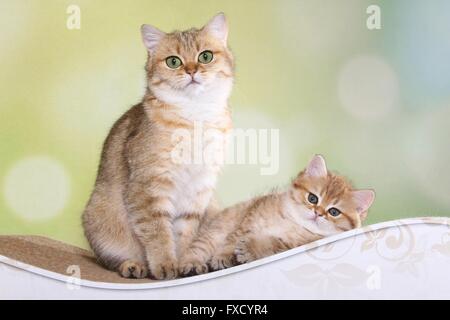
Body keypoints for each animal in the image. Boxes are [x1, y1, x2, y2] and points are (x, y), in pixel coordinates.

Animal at [82, 13, 234, 278]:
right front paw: (165, 265)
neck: (196, 117)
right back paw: (133, 266)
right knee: (110, 259)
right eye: (173, 61)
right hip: (99, 218)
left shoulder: (199, 190)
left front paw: (186, 263)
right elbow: (158, 233)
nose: (191, 70)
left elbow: (186, 234)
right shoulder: (149, 187)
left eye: (205, 56)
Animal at [178, 155, 374, 276]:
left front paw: (251, 249)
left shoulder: (291, 245)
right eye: (312, 198)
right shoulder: (248, 219)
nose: (318, 213)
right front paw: (224, 256)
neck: (292, 222)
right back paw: (193, 265)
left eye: (334, 212)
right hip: (216, 230)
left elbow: (271, 243)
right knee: (198, 248)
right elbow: (232, 240)